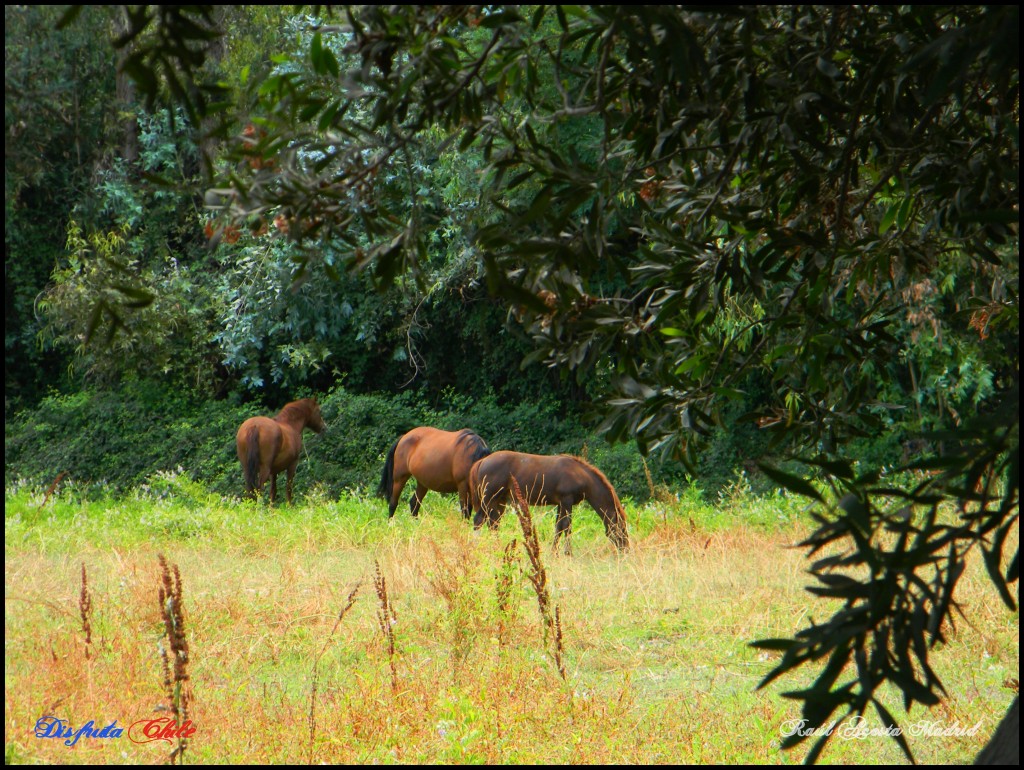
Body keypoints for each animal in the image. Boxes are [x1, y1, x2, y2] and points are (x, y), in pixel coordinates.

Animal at [468, 450, 626, 552]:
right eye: (622, 528)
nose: (626, 549)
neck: (580, 475)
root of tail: (482, 461)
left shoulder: (561, 504)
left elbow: (558, 527)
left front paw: (554, 552)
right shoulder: (566, 501)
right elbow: (567, 526)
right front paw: (567, 553)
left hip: (499, 500)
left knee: (493, 523)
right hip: (489, 498)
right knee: (479, 520)